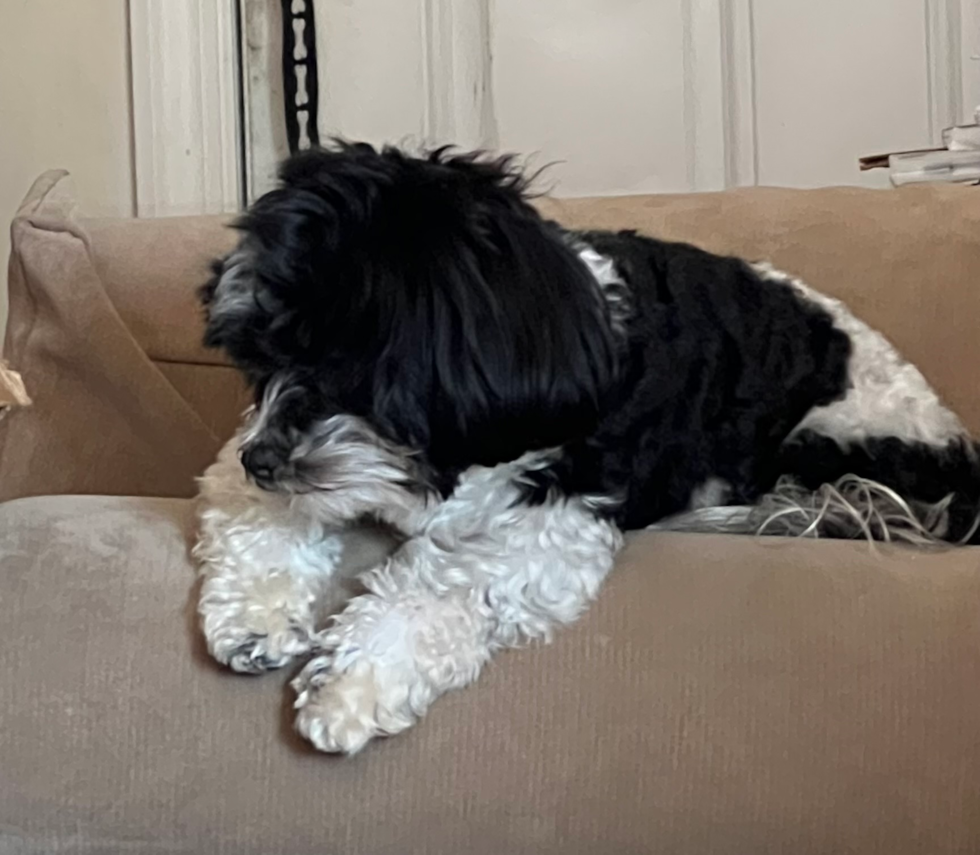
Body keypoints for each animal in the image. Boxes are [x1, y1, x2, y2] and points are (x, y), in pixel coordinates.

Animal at [193, 142, 980, 756]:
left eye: (345, 360)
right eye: (256, 357)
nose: (264, 461)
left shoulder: (556, 525)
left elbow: (447, 578)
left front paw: (354, 676)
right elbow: (253, 510)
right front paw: (255, 616)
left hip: (835, 438)